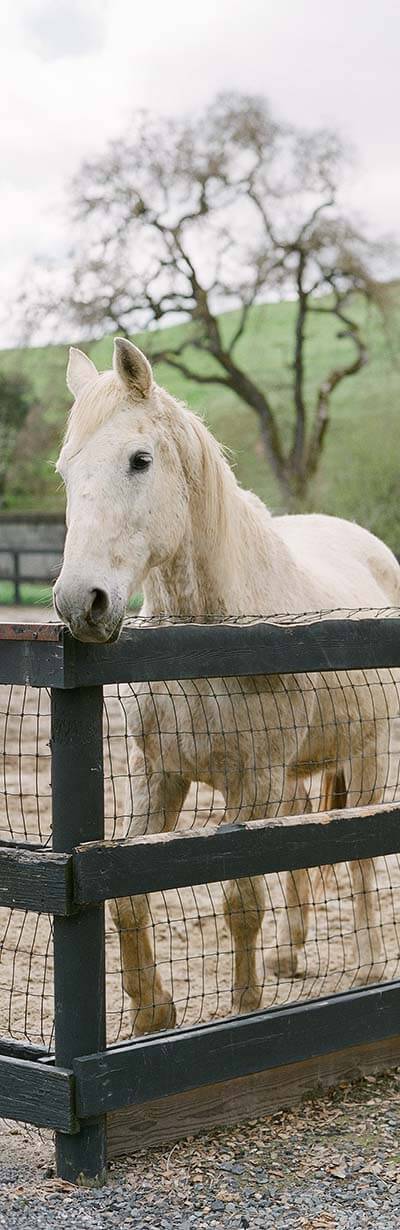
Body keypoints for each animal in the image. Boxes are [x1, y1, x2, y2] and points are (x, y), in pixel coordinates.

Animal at [53, 334, 398, 1028]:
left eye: (139, 460)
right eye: (66, 472)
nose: (82, 603)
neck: (204, 644)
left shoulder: (254, 784)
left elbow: (242, 896)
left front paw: (243, 1008)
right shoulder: (157, 775)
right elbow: (127, 895)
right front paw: (152, 1012)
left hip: (368, 758)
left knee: (361, 859)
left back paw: (370, 964)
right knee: (303, 847)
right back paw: (289, 956)